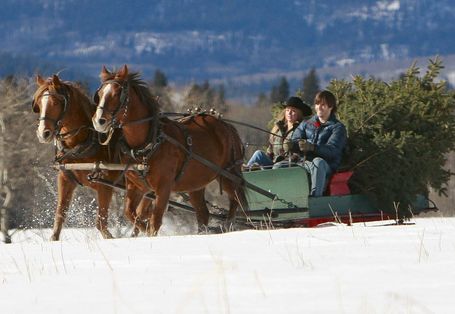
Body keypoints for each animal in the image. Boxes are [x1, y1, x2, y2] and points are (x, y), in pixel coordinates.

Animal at [32, 74, 129, 240]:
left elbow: (102, 224)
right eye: (39, 104)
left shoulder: (105, 185)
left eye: (56, 102)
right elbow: (59, 217)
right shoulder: (65, 180)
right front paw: (53, 239)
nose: (43, 133)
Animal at [92, 65, 248, 234]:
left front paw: (148, 230)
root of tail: (227, 126)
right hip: (195, 183)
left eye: (116, 94)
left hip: (228, 175)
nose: (98, 121)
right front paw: (141, 229)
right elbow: (130, 213)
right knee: (203, 213)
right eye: (99, 94)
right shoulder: (136, 187)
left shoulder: (163, 188)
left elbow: (154, 221)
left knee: (236, 201)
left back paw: (229, 225)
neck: (148, 143)